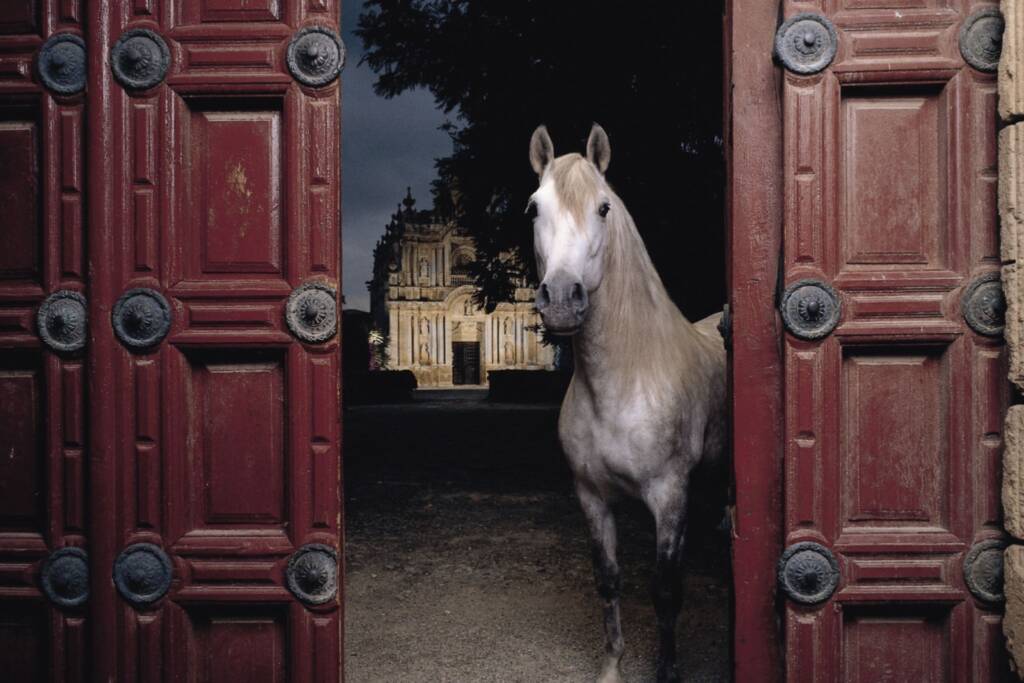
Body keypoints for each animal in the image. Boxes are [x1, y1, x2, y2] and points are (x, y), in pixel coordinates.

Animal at [527, 124, 727, 683]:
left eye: (603, 208)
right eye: (534, 208)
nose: (561, 299)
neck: (623, 381)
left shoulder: (670, 496)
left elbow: (665, 591)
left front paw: (667, 671)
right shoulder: (591, 496)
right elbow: (609, 579)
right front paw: (613, 665)